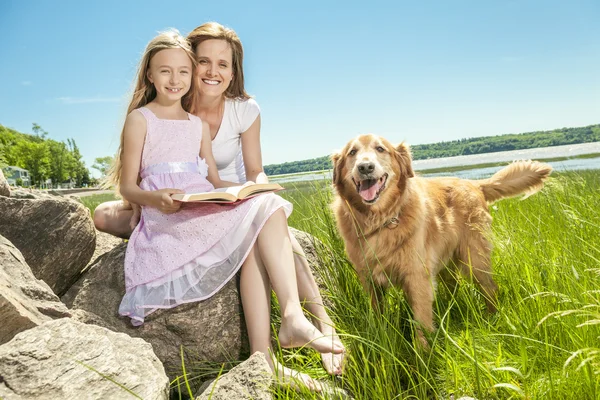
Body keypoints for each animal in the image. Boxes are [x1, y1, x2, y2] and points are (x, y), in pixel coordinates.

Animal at [330, 134, 552, 346]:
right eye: (352, 152)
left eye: (380, 148)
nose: (365, 167)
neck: (380, 219)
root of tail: (474, 184)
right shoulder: (369, 279)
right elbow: (378, 315)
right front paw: (381, 337)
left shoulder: (417, 276)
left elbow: (421, 324)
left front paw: (423, 355)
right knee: (455, 286)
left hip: (474, 260)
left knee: (490, 288)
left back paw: (492, 318)